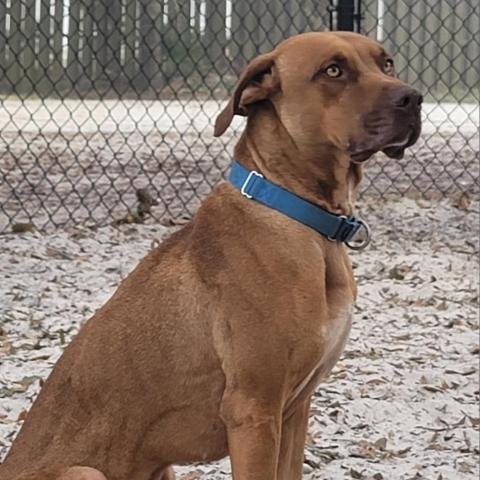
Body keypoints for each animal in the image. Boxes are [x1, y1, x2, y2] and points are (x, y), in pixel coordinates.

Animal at [0, 31, 420, 480]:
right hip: (83, 471)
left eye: (387, 63)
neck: (300, 214)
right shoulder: (253, 410)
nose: (413, 98)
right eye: (333, 70)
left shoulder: (294, 411)